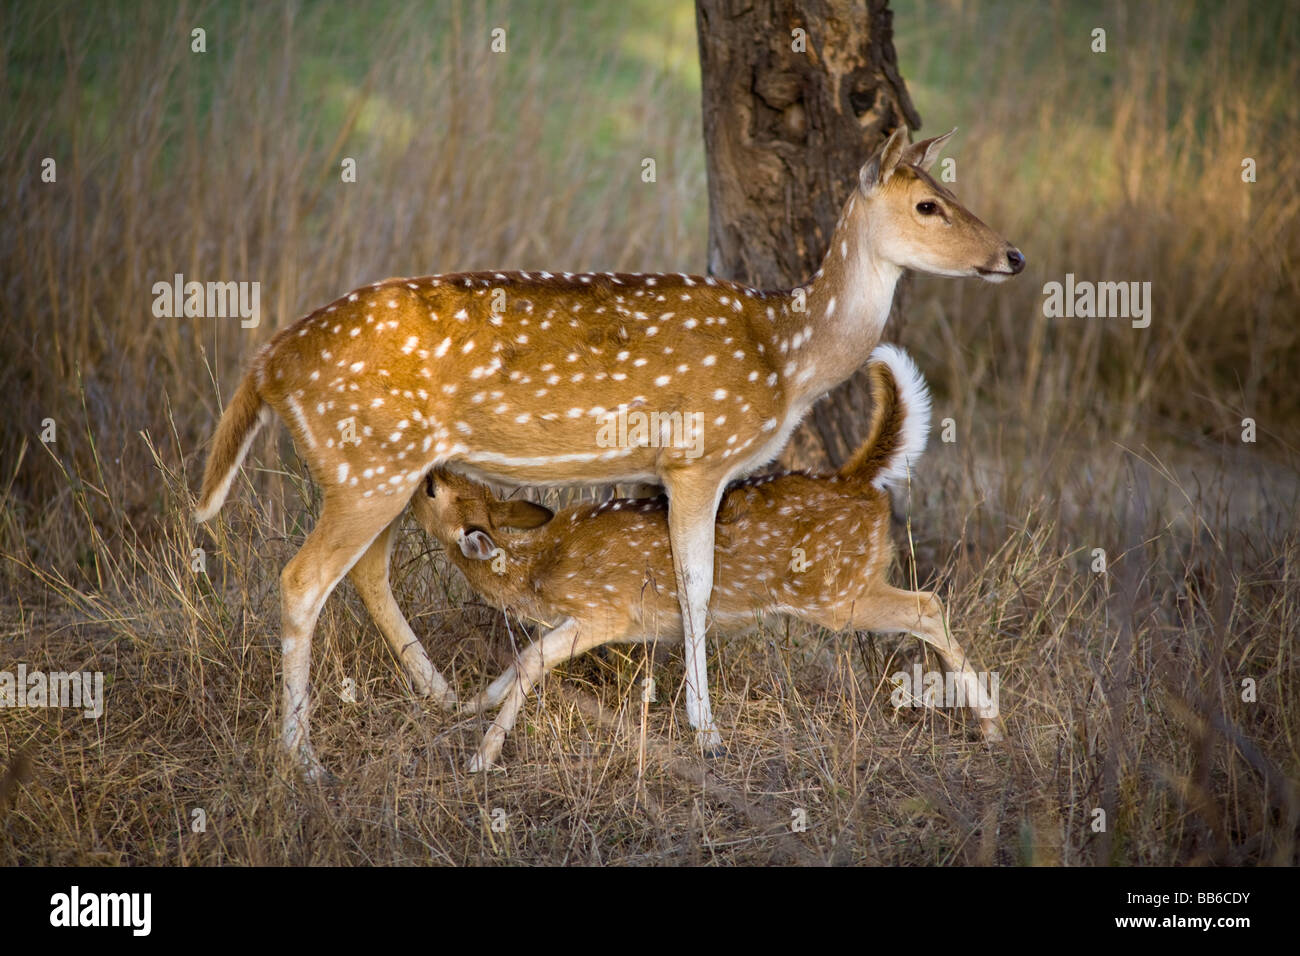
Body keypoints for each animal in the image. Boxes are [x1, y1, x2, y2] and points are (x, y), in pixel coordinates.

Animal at [412, 345, 1001, 770]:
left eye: (435, 491)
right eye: (451, 482)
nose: (426, 470)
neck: (540, 569)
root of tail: (857, 481)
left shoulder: (606, 611)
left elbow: (532, 660)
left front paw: (481, 757)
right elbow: (519, 661)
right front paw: (471, 707)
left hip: (837, 593)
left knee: (927, 604)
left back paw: (992, 726)